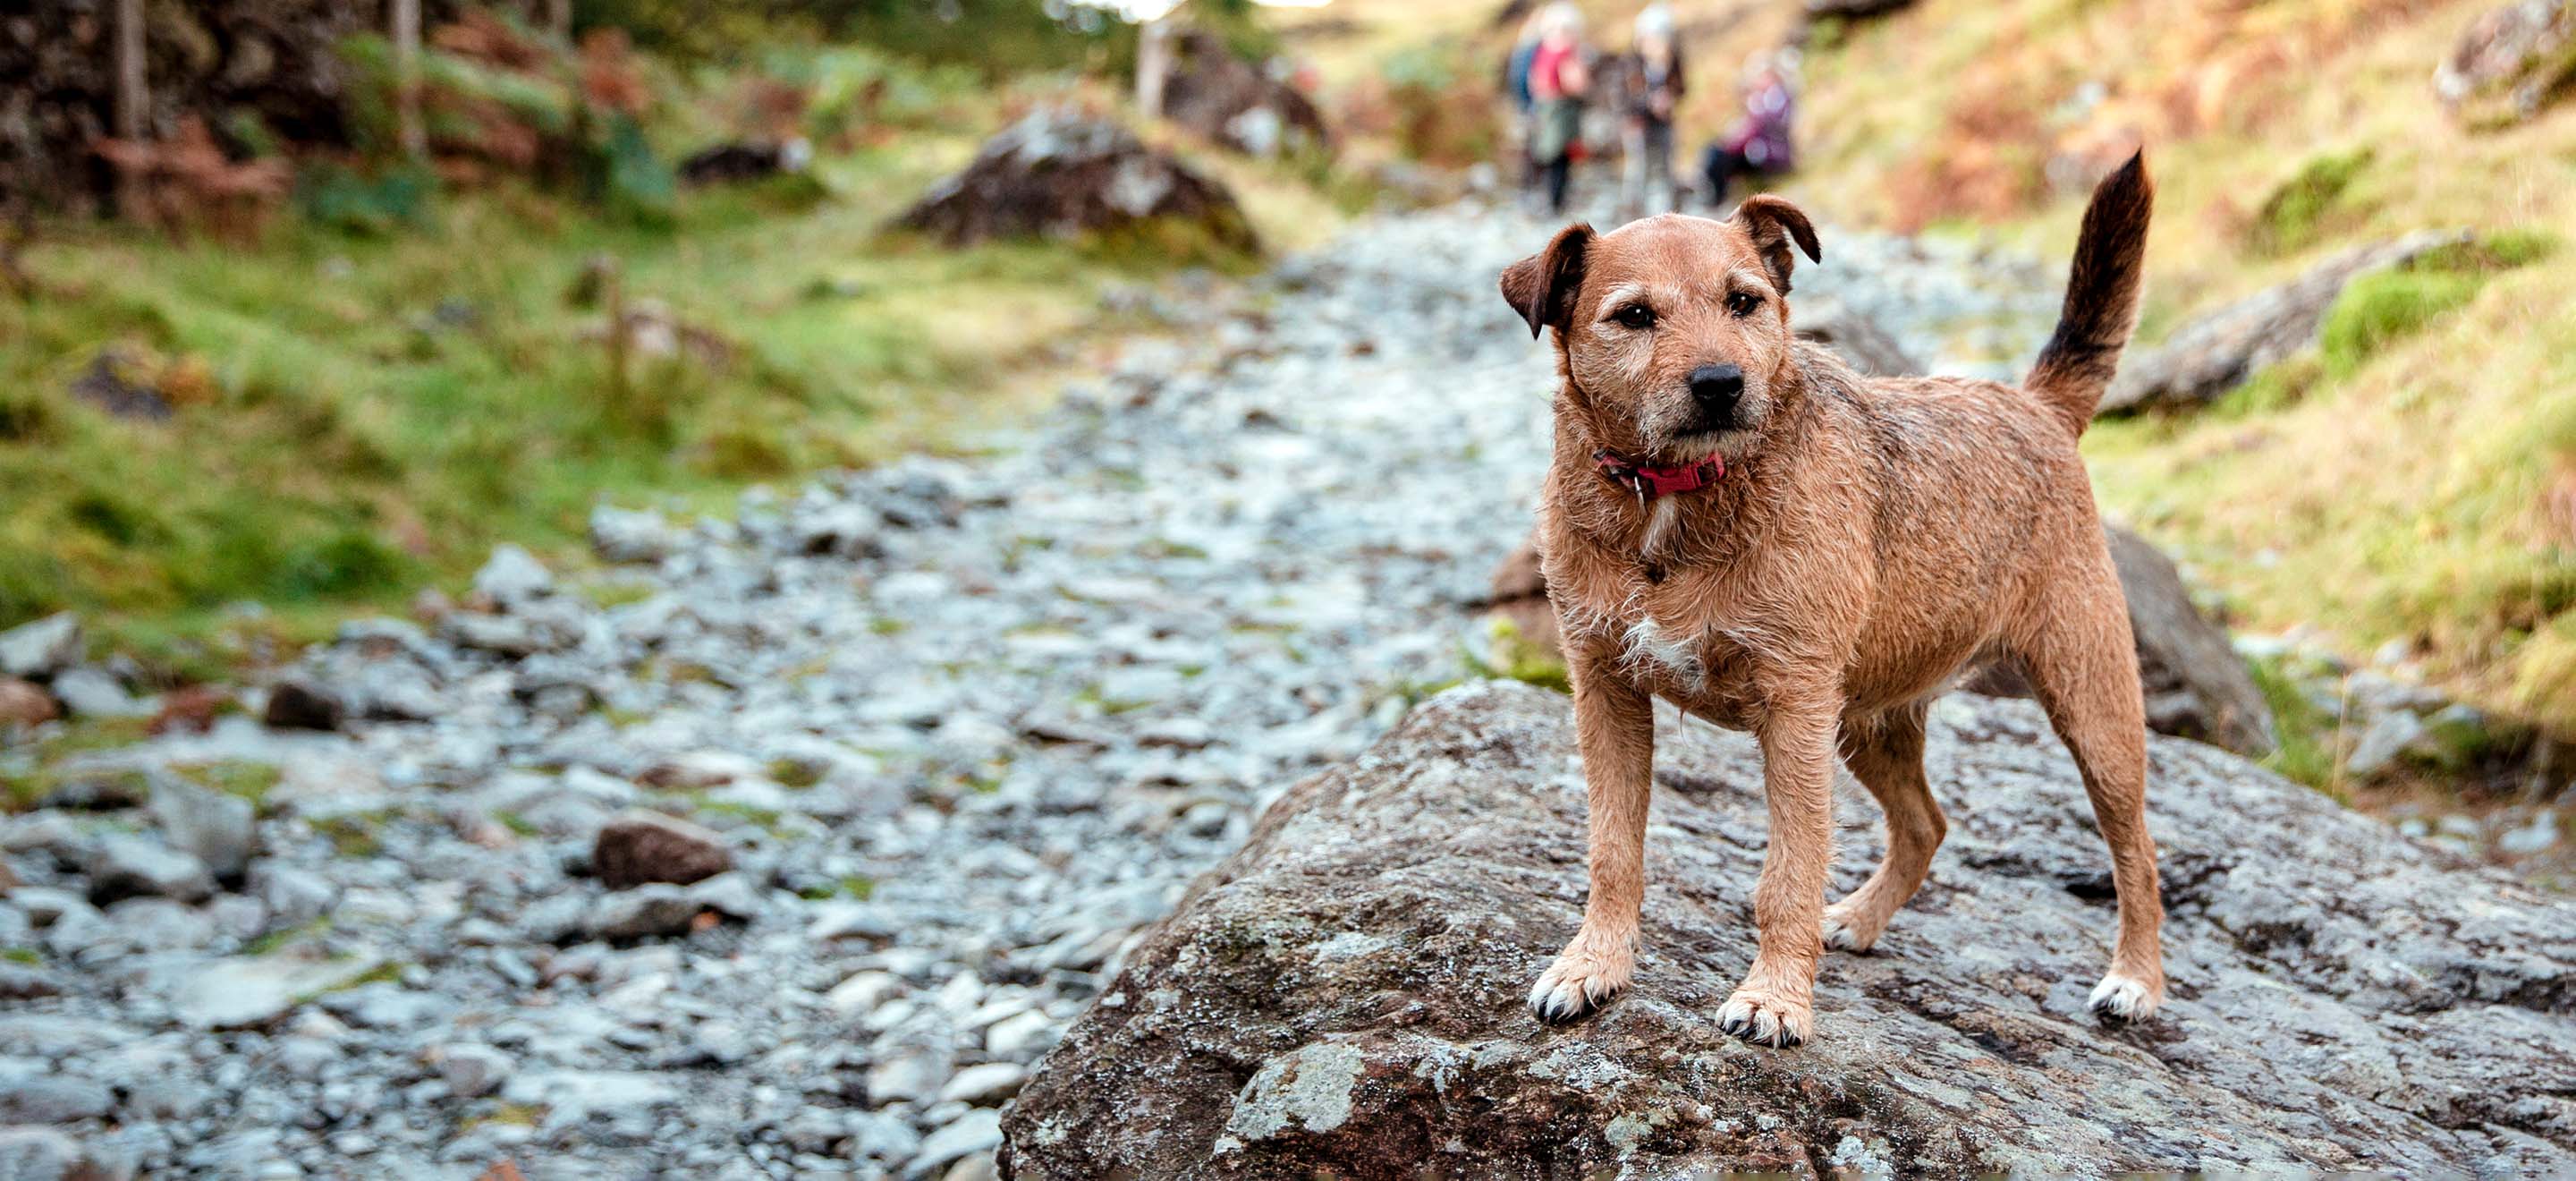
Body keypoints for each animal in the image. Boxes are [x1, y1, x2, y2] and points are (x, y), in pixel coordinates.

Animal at [1504, 152, 2164, 1047]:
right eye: (1634, 316)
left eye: (1744, 301)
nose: (1720, 383)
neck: (1675, 500)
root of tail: (2035, 405)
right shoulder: (1606, 691)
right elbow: (1613, 852)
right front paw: (1593, 966)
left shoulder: (1794, 711)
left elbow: (1789, 871)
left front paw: (1776, 998)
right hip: (1867, 723)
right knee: (1926, 823)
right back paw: (1858, 919)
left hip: (2092, 709)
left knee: (2138, 852)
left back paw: (2136, 981)